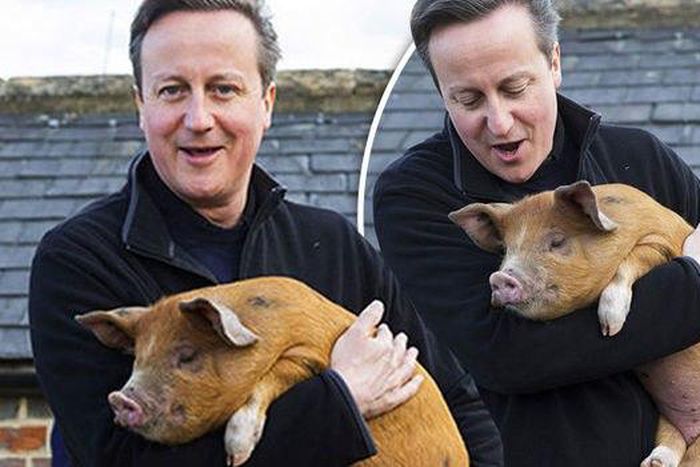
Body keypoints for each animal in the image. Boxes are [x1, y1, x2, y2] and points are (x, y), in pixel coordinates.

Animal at [75, 275, 470, 466]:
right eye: (137, 359)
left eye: (186, 355)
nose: (120, 398)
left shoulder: (308, 354)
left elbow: (269, 380)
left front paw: (236, 457)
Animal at [449, 181, 700, 467]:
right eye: (507, 249)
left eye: (557, 241)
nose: (500, 278)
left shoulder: (661, 242)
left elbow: (632, 261)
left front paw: (610, 329)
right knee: (672, 437)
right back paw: (654, 462)